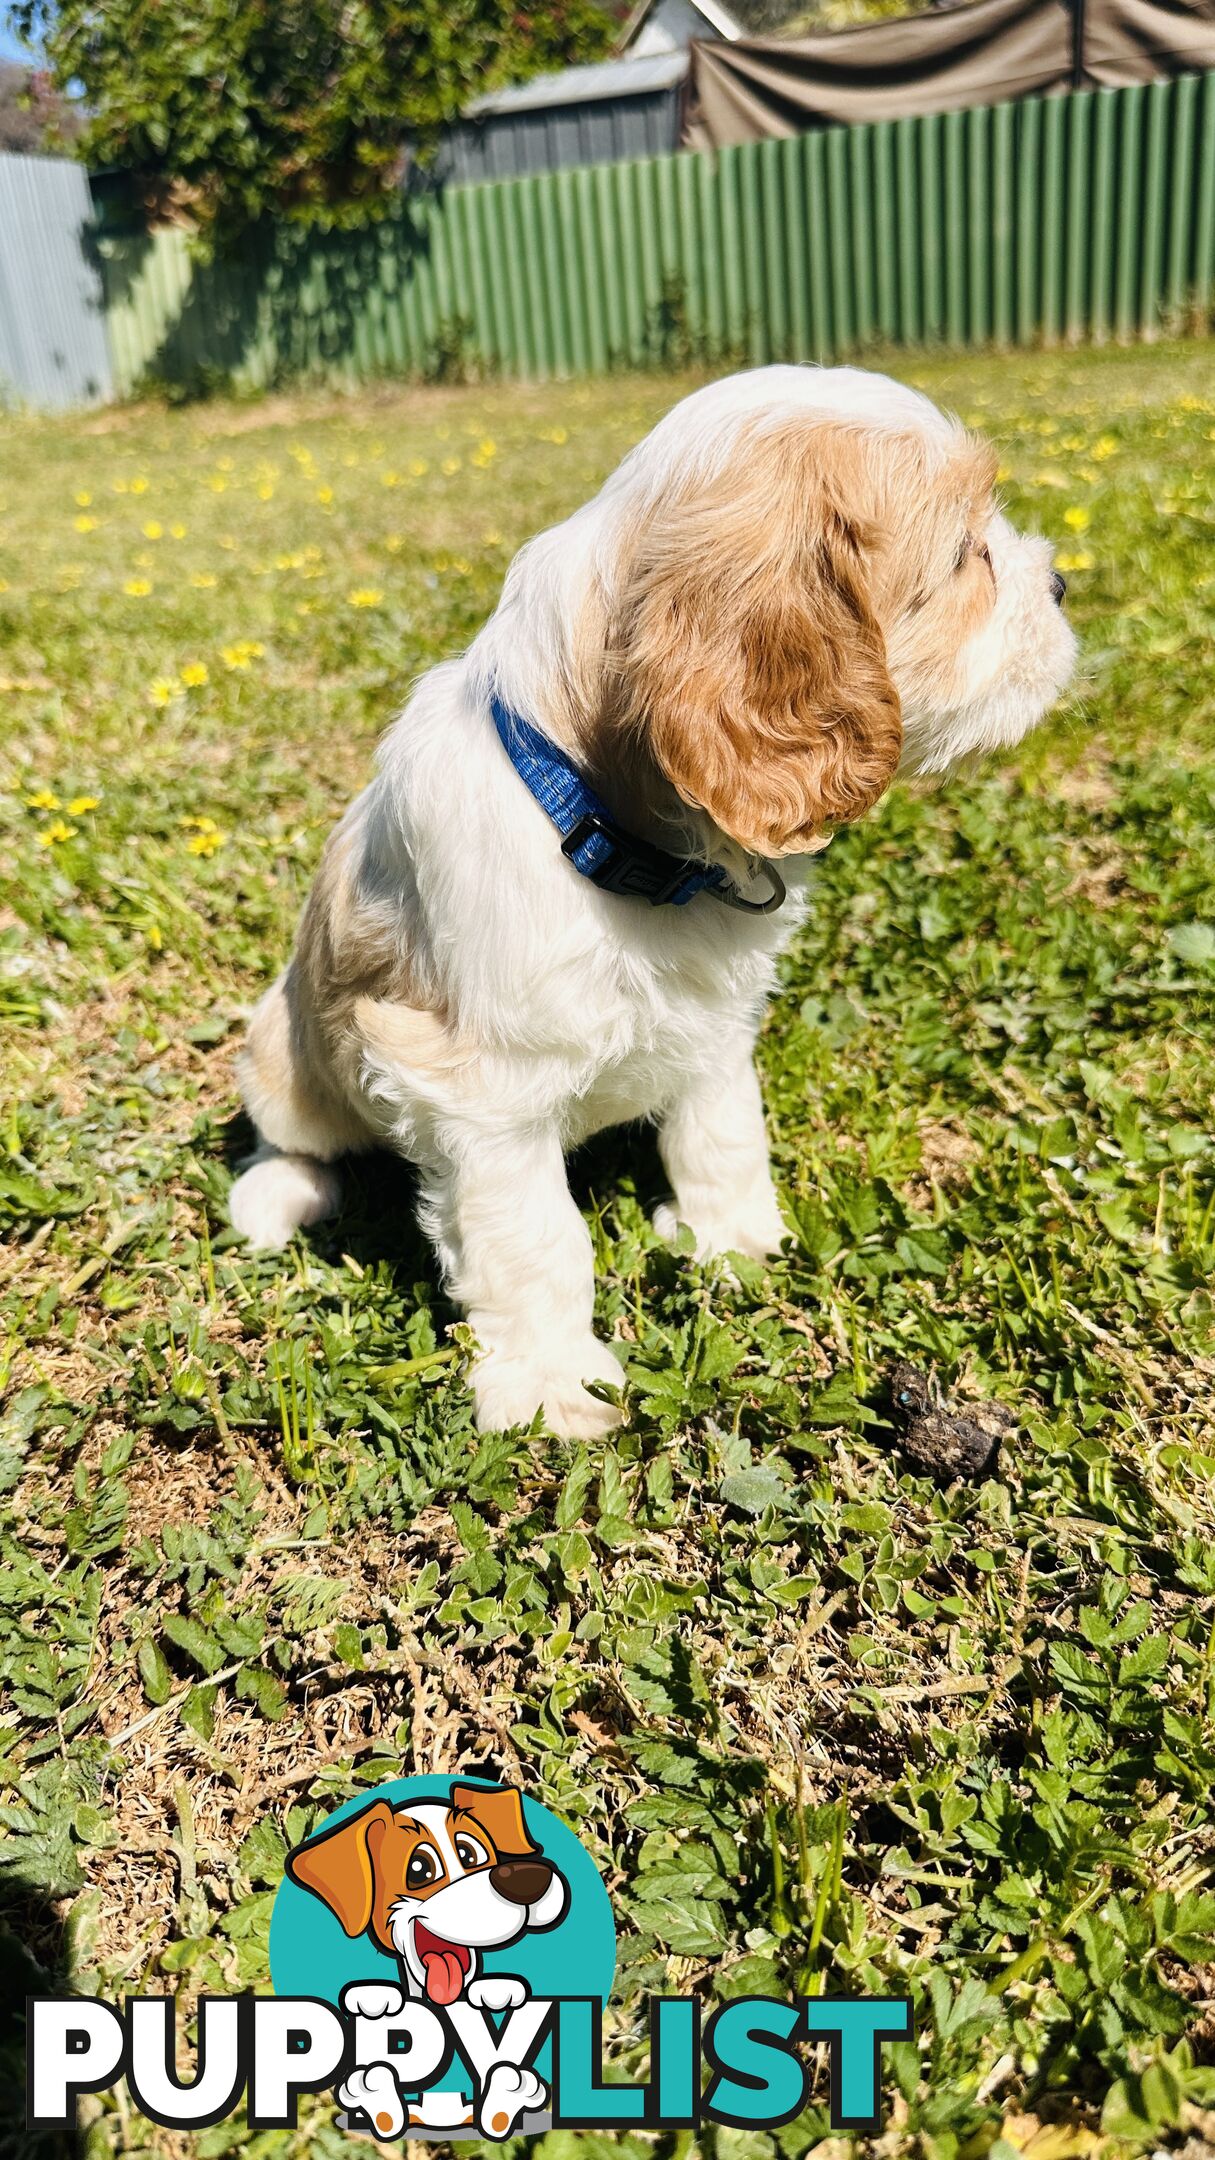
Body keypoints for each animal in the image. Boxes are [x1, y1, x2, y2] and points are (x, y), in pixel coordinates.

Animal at [229, 365, 1067, 1442]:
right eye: (967, 555)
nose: (1061, 583)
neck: (605, 833)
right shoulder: (476, 1090)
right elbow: (536, 1239)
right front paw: (551, 1385)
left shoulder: (714, 1023)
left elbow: (723, 1131)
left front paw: (733, 1239)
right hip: (281, 1041)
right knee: (291, 1133)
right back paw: (275, 1195)